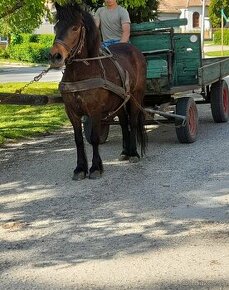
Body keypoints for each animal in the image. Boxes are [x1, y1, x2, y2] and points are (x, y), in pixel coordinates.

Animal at [49, 1, 148, 179]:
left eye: (75, 28)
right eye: (56, 27)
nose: (55, 56)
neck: (82, 71)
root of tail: (136, 52)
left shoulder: (94, 110)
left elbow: (94, 138)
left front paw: (95, 167)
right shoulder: (71, 112)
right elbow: (78, 140)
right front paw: (80, 168)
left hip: (135, 96)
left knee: (132, 121)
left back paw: (133, 153)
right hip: (119, 101)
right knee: (124, 123)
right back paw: (125, 152)